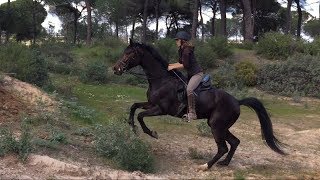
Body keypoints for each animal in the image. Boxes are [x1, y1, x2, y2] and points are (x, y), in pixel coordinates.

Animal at [112, 39, 284, 170]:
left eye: (129, 53)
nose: (116, 69)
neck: (161, 80)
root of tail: (237, 101)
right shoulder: (150, 104)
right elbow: (134, 106)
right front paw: (132, 126)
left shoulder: (161, 109)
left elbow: (141, 115)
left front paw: (151, 133)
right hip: (221, 126)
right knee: (235, 142)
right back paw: (224, 163)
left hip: (216, 126)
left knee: (223, 147)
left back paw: (206, 166)